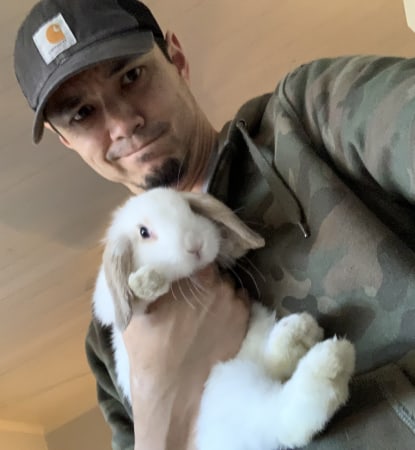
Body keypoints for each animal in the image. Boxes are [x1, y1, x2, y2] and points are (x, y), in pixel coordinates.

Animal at [92, 187, 356, 450]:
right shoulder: (113, 307)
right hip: (231, 387)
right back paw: (330, 361)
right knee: (282, 419)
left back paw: (302, 335)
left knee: (276, 375)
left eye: (190, 209)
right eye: (143, 232)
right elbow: (131, 301)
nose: (195, 245)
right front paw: (146, 280)